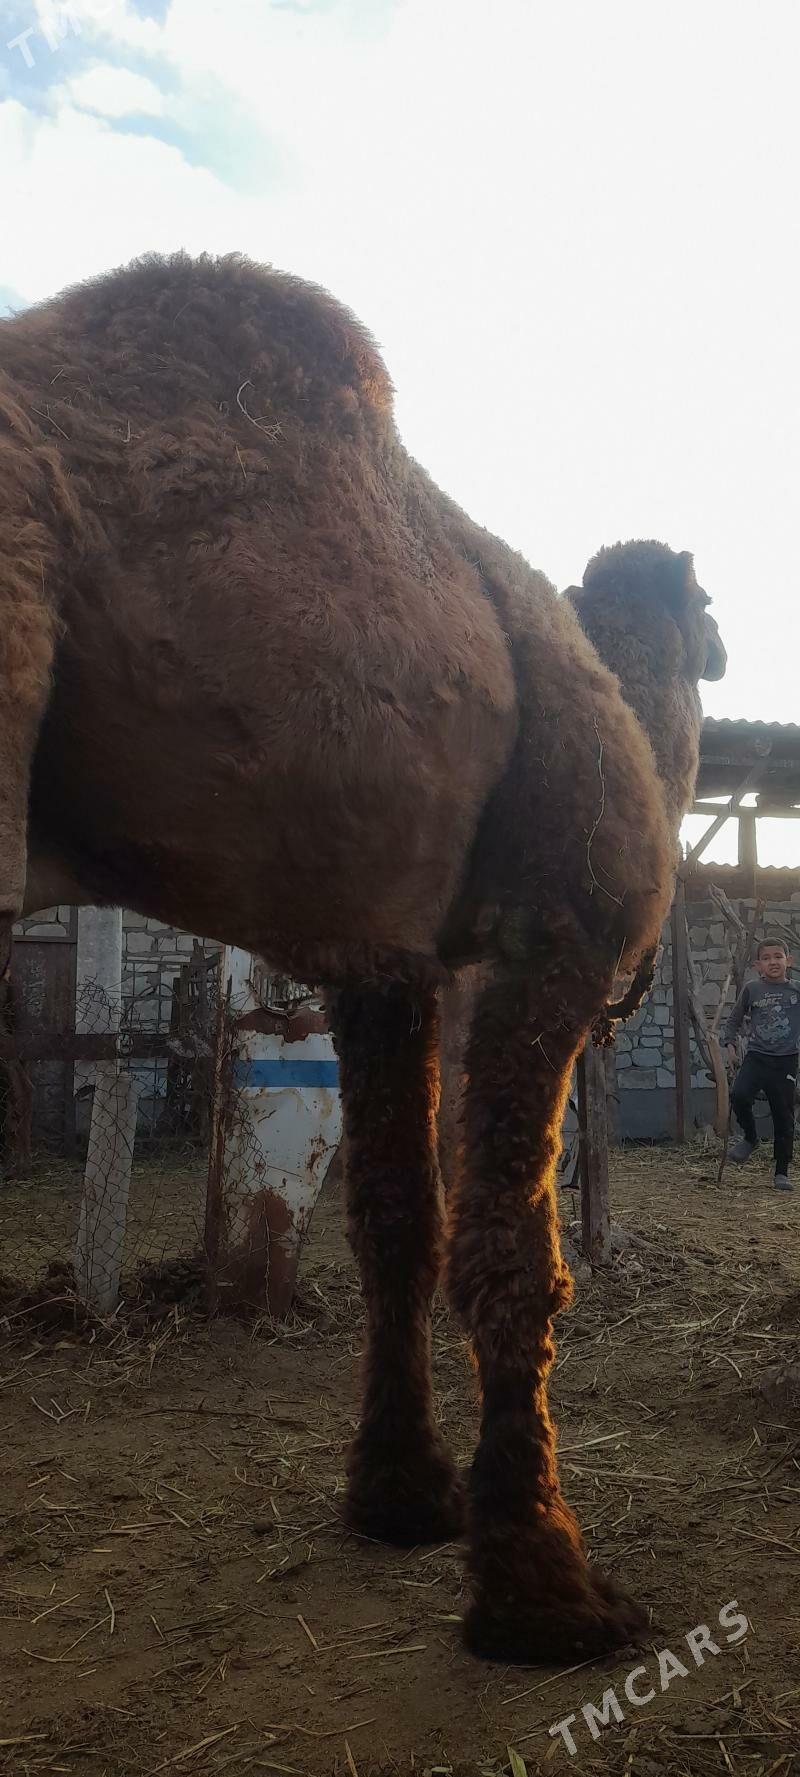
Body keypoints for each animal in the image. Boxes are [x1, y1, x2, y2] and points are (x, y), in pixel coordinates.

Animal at [0, 252, 725, 1663]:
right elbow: (513, 1259)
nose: (721, 647)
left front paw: (400, 1498)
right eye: (710, 606)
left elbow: (395, 1224)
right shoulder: (548, 941)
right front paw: (545, 1591)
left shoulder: (381, 972)